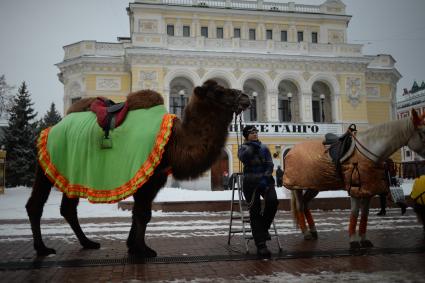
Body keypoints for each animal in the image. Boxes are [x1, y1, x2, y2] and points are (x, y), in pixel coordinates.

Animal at [24, 80, 250, 258]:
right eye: (219, 91)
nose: (245, 97)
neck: (174, 142)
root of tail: (49, 129)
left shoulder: (156, 176)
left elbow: (140, 212)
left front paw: (132, 246)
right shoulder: (146, 175)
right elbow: (142, 213)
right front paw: (143, 250)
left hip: (70, 171)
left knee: (68, 209)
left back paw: (88, 243)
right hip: (48, 166)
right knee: (36, 204)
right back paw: (42, 248)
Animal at [282, 110, 424, 250]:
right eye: (422, 133)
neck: (368, 150)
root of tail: (291, 150)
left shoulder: (368, 190)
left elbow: (365, 214)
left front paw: (364, 240)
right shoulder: (355, 189)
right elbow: (355, 213)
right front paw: (353, 241)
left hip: (313, 186)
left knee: (305, 204)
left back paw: (313, 231)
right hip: (297, 186)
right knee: (300, 206)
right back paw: (306, 233)